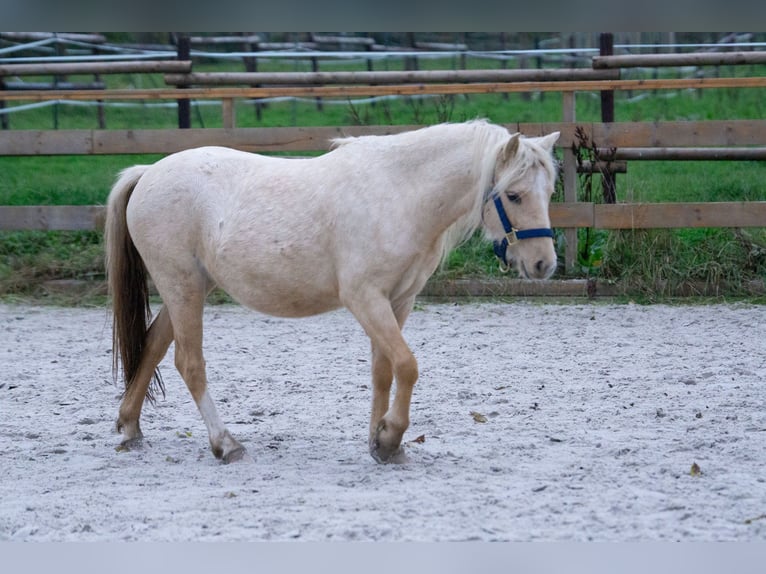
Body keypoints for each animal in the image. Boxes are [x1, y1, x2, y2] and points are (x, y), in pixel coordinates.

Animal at [105, 119, 560, 466]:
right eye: (514, 195)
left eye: (549, 193)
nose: (544, 264)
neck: (399, 194)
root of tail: (147, 173)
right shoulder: (364, 298)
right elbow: (407, 366)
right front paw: (391, 437)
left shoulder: (398, 301)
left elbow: (383, 370)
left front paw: (380, 442)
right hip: (182, 286)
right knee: (189, 363)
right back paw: (226, 444)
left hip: (188, 287)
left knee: (153, 346)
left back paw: (130, 428)